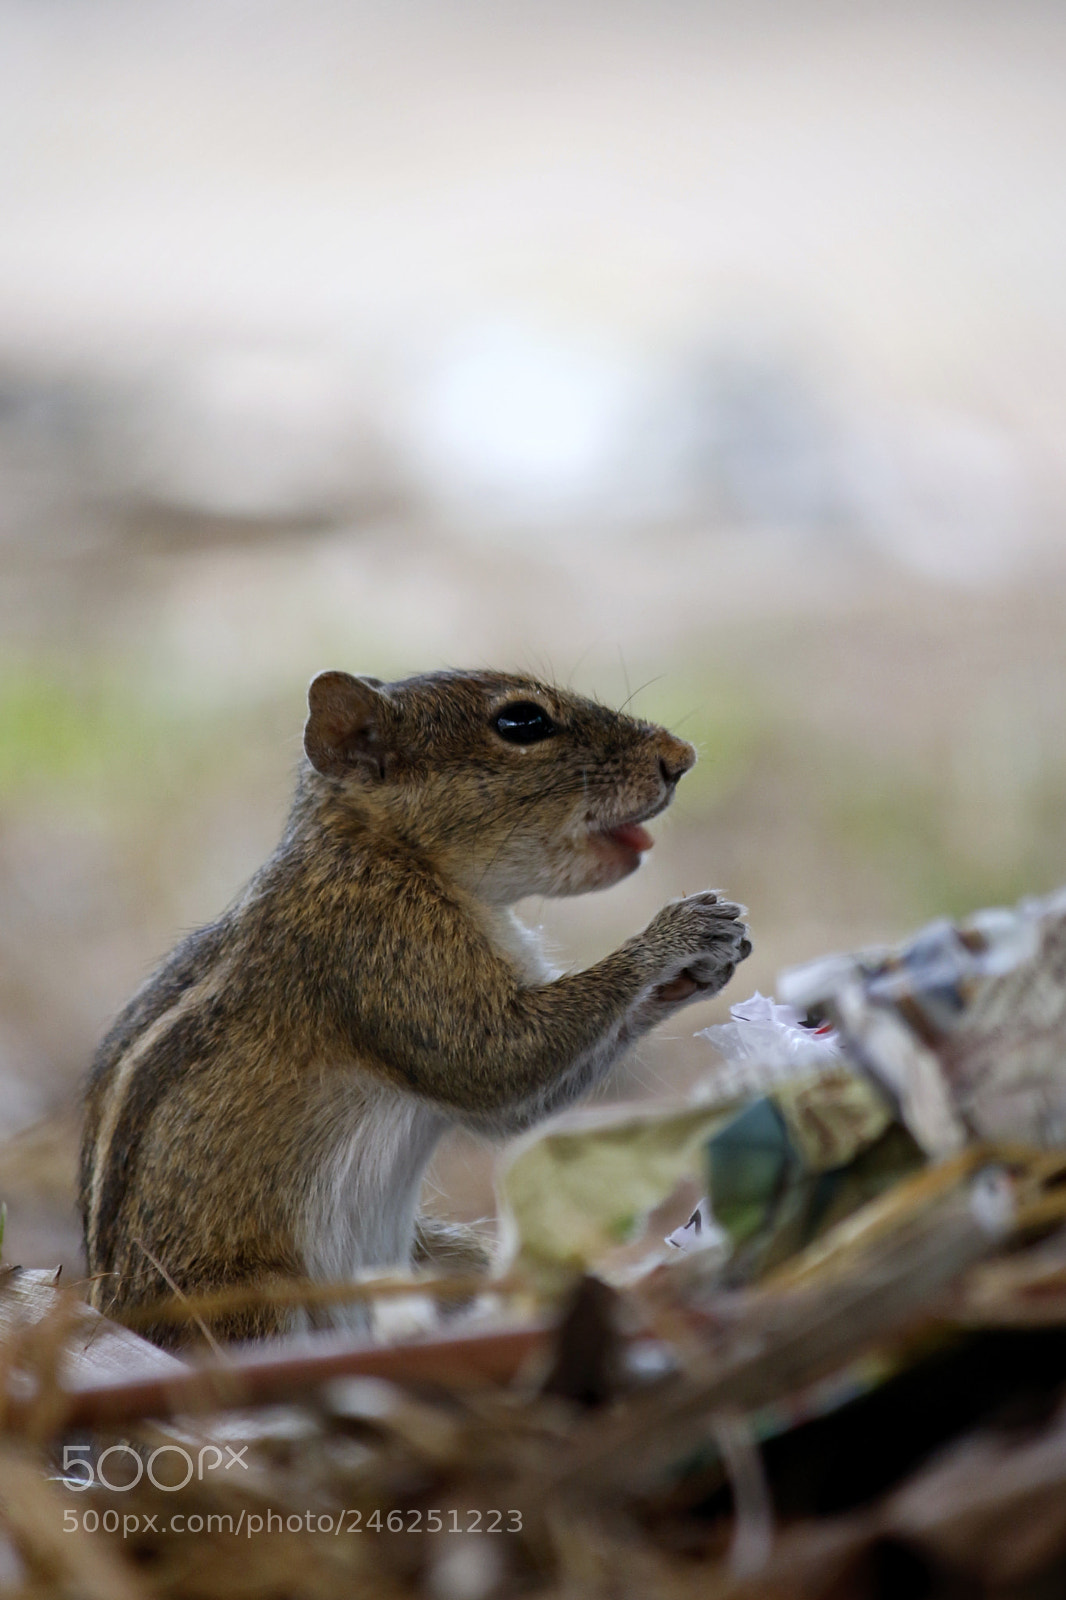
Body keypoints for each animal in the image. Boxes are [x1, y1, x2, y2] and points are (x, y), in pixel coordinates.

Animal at [80, 669, 751, 1344]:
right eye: (522, 723)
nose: (681, 757)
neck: (386, 851)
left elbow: (520, 1104)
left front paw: (709, 964)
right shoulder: (382, 948)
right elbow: (495, 1060)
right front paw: (676, 935)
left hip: (444, 1261)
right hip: (256, 1305)